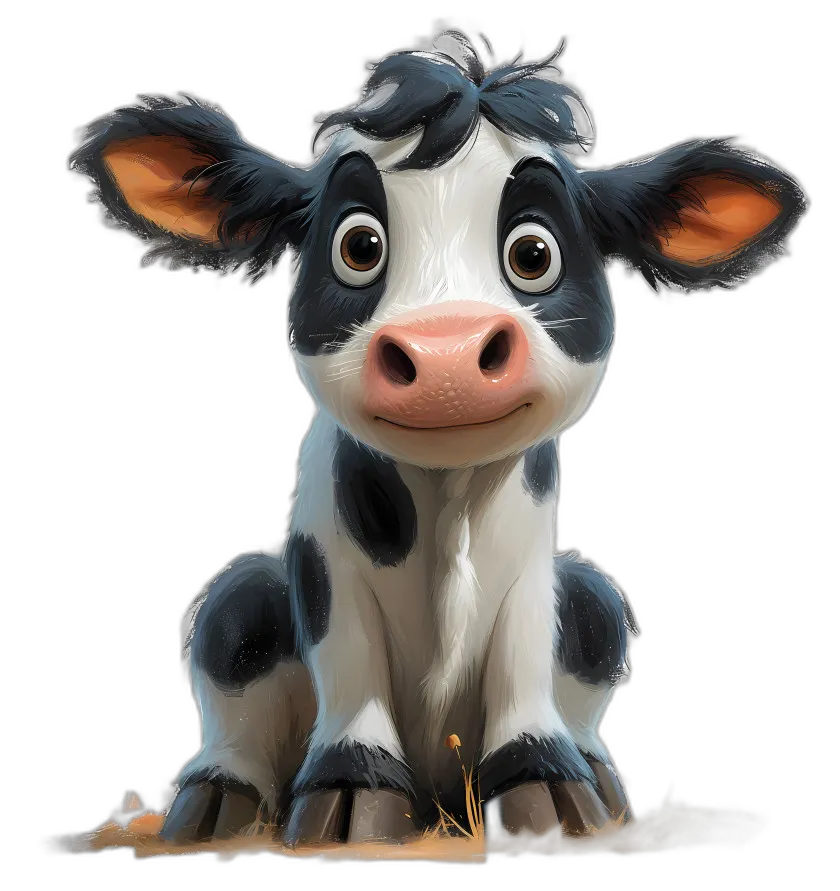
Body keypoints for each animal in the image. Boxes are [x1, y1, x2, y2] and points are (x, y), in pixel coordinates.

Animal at [67, 30, 808, 845]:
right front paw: (352, 797)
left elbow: (523, 658)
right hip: (244, 599)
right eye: (358, 245)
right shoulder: (326, 567)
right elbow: (349, 661)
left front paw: (545, 786)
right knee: (231, 635)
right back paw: (212, 805)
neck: (449, 494)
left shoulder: (533, 568)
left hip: (595, 601)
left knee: (596, 622)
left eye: (534, 253)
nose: (446, 355)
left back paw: (599, 780)